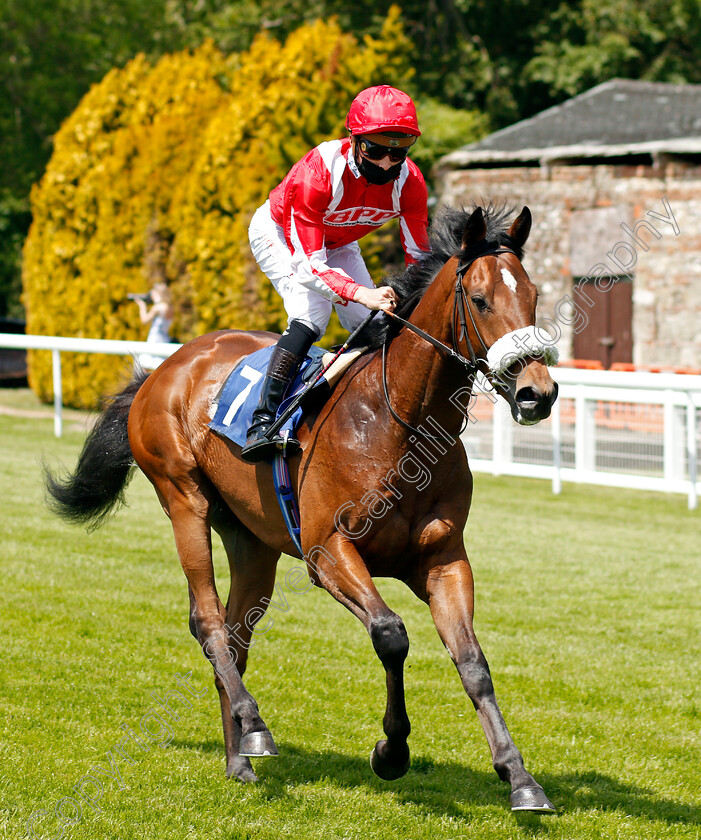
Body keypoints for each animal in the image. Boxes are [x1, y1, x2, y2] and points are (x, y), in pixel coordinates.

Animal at [45, 205, 556, 812]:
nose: (537, 393)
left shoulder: (443, 559)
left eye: (534, 295)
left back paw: (240, 759)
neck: (399, 422)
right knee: (207, 620)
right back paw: (255, 725)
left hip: (252, 541)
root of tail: (165, 368)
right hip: (183, 496)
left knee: (235, 637)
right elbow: (390, 633)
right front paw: (391, 752)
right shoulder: (327, 550)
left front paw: (519, 776)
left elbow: (474, 663)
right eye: (479, 300)